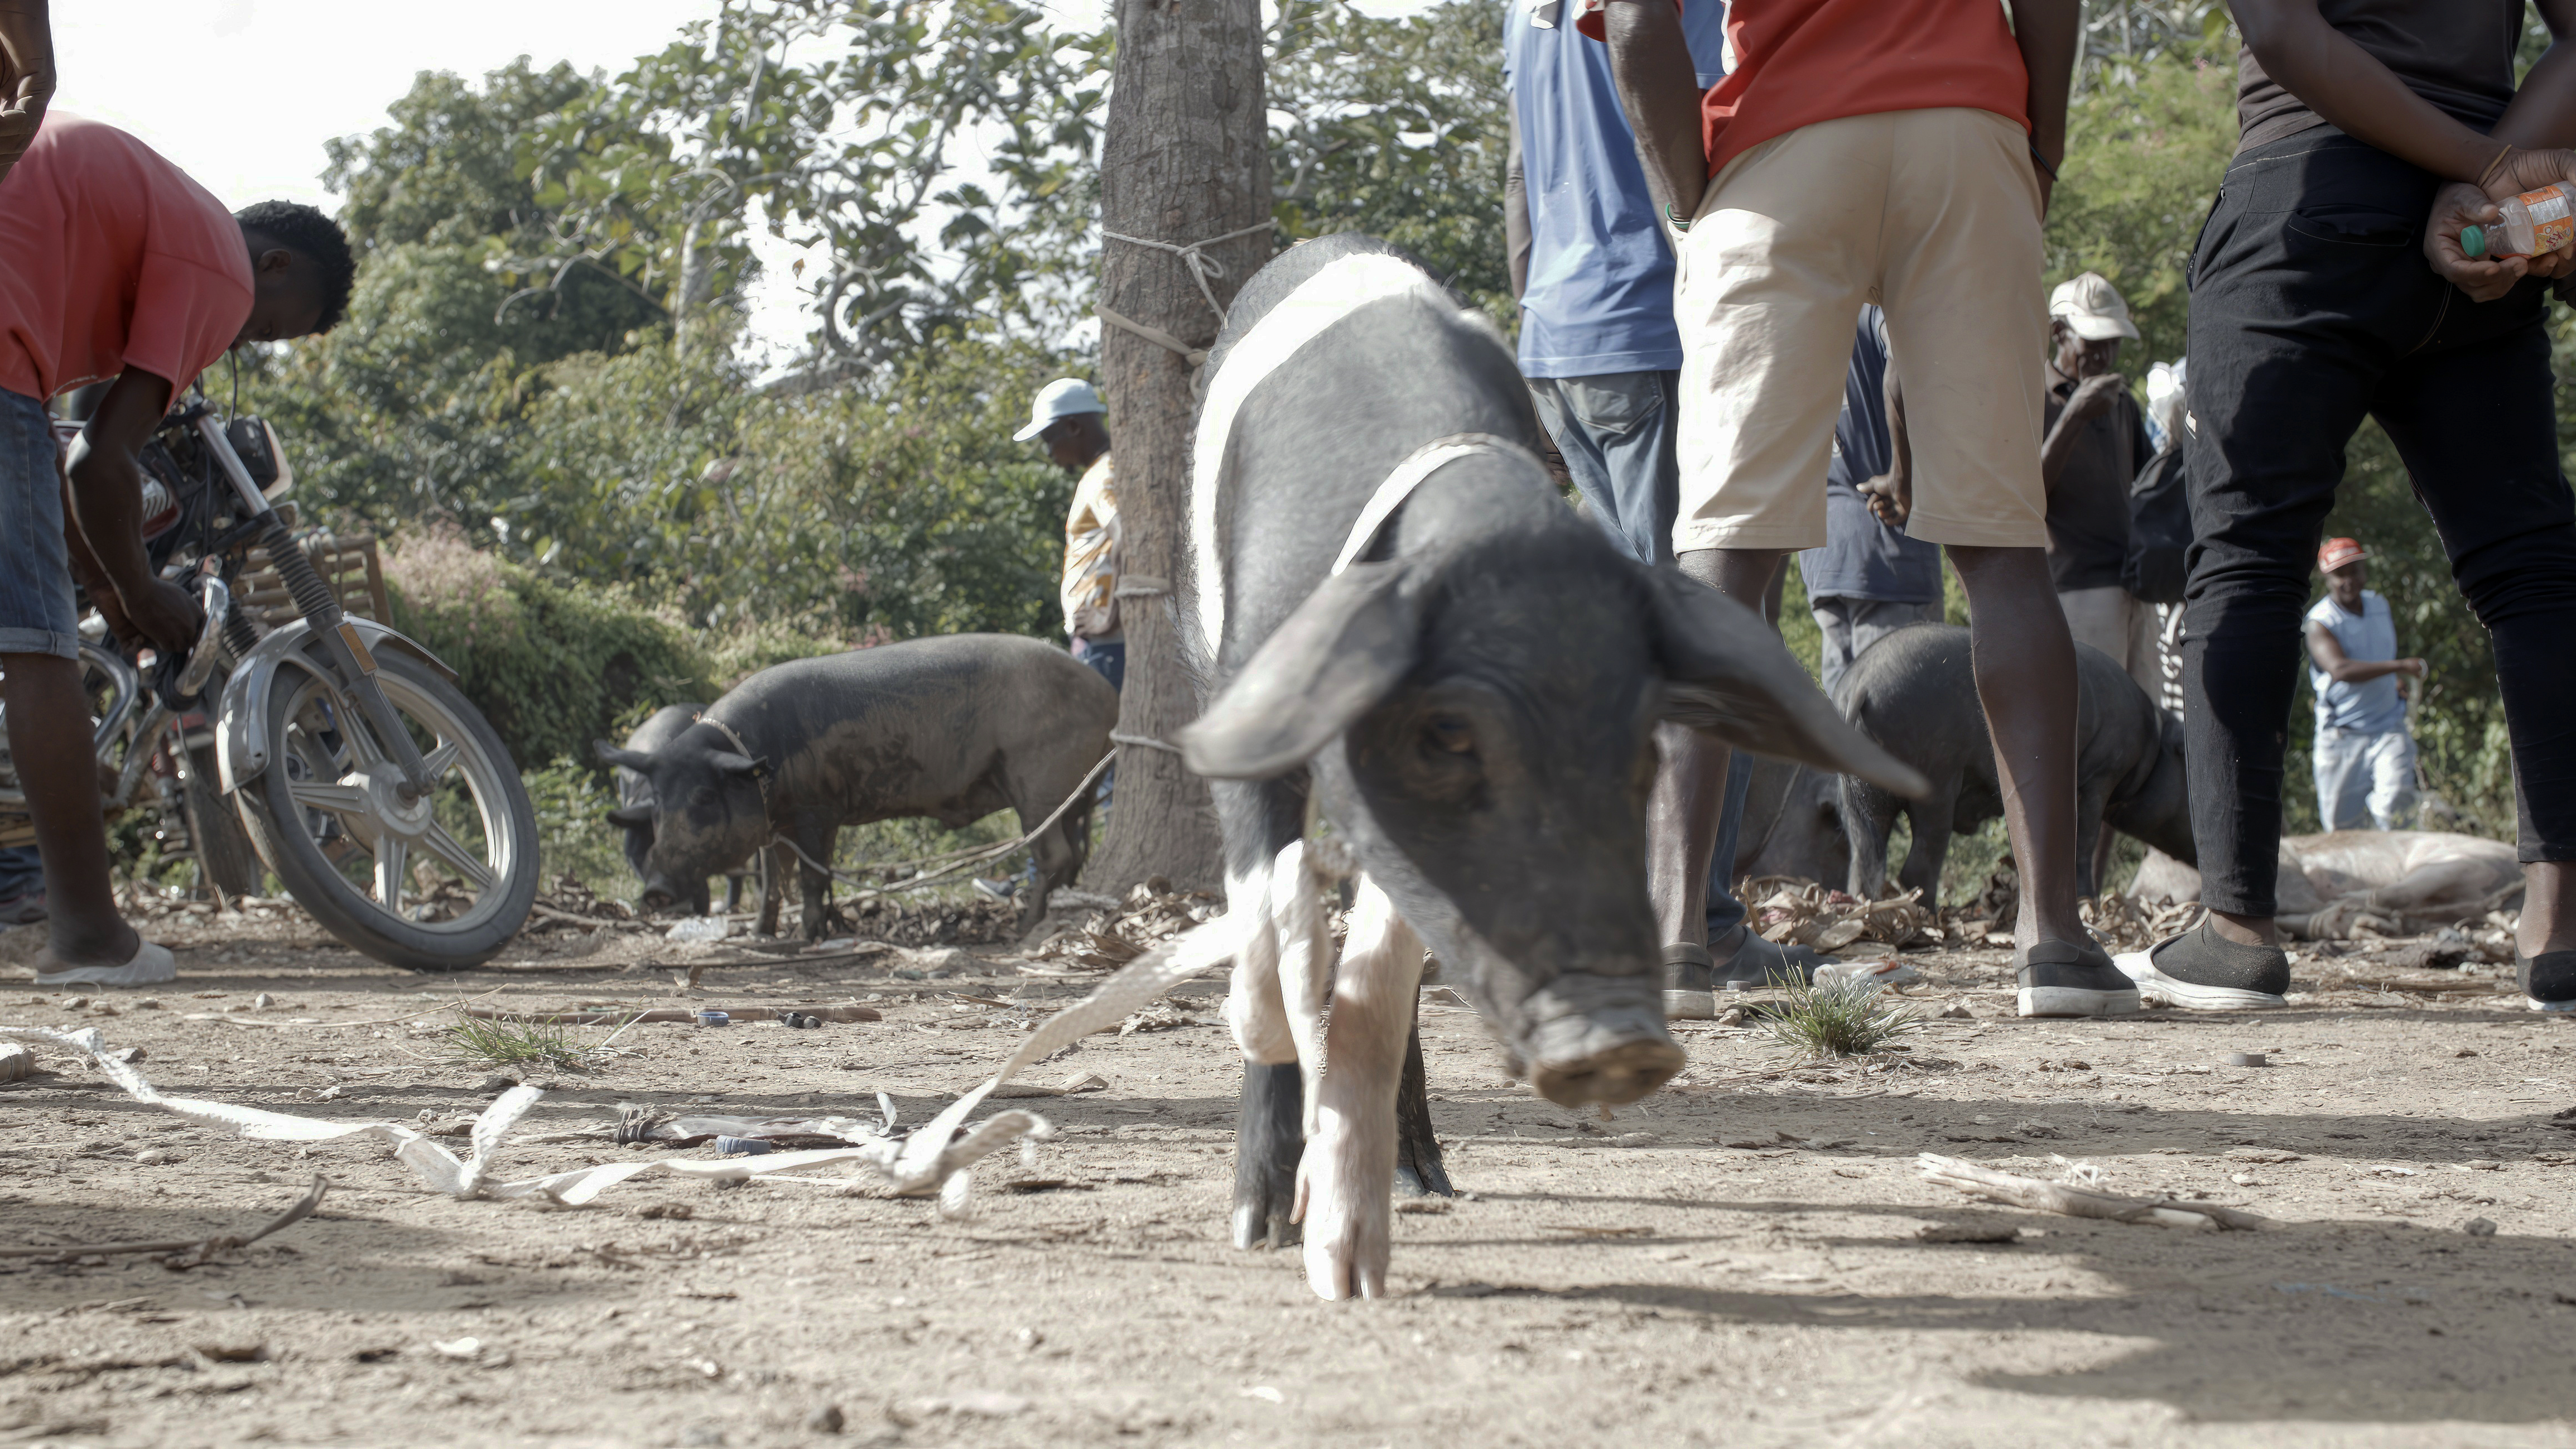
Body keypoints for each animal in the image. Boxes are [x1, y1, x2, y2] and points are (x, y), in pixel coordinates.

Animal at [1179, 237, 1927, 1299]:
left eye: (1641, 741)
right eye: (1448, 733)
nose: (1621, 1037)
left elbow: (1382, 972)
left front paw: (1352, 1265)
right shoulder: (1251, 695)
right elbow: (1267, 934)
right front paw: (1259, 1223)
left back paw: (1426, 1181)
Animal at [1834, 624, 2194, 902]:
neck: (2153, 742)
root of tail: (1861, 684)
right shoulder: (2101, 775)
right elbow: (2086, 841)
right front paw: (2089, 901)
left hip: (1857, 792)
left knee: (1863, 862)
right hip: (1935, 780)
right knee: (1916, 868)